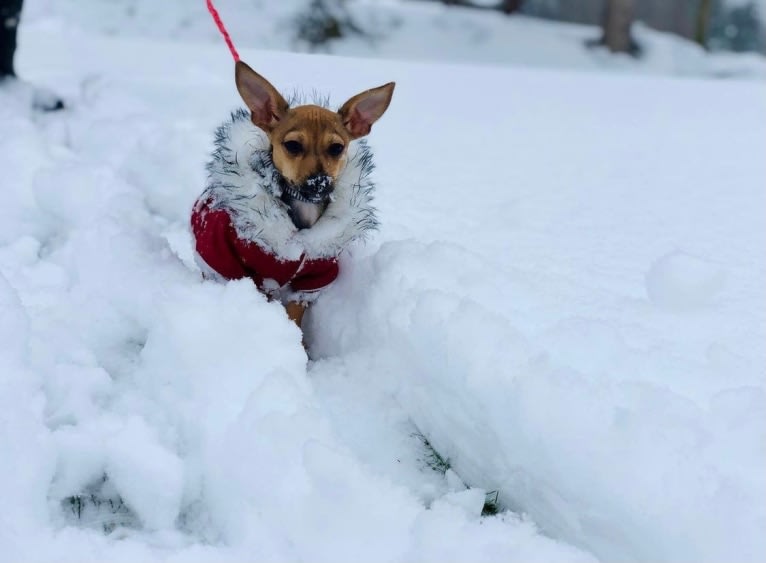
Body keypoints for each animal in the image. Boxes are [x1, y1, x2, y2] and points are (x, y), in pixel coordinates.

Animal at [191, 63, 396, 330]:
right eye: (292, 145)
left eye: (337, 148)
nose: (318, 182)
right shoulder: (242, 264)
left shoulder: (315, 276)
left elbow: (296, 311)